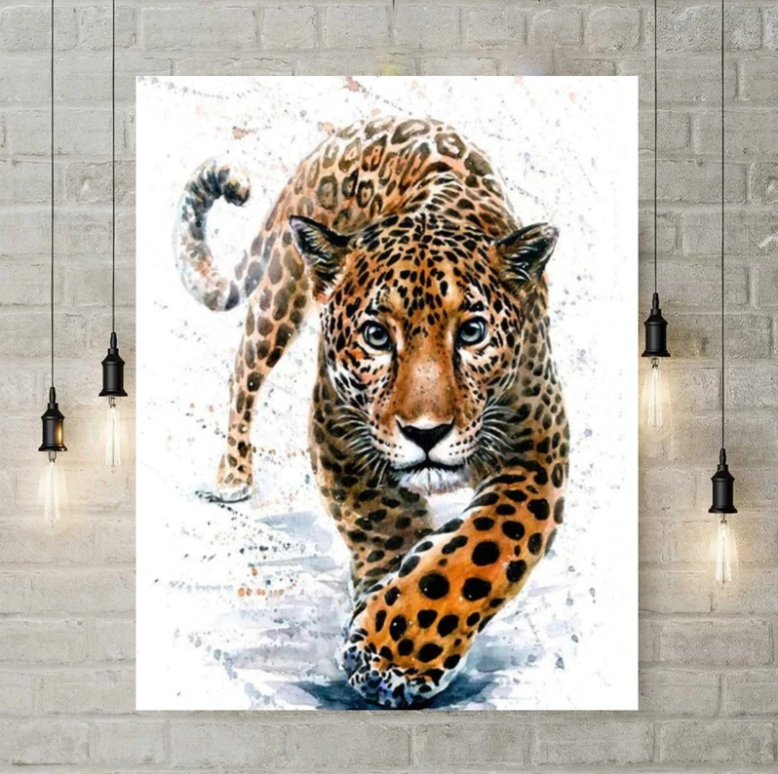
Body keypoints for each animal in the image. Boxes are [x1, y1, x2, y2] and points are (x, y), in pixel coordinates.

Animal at [175, 115, 569, 708]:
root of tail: (357, 127)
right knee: (243, 372)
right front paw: (387, 638)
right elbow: (385, 525)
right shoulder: (338, 433)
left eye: (472, 332)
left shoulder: (538, 449)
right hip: (280, 293)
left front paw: (396, 650)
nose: (426, 433)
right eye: (377, 336)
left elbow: (480, 548)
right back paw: (233, 475)